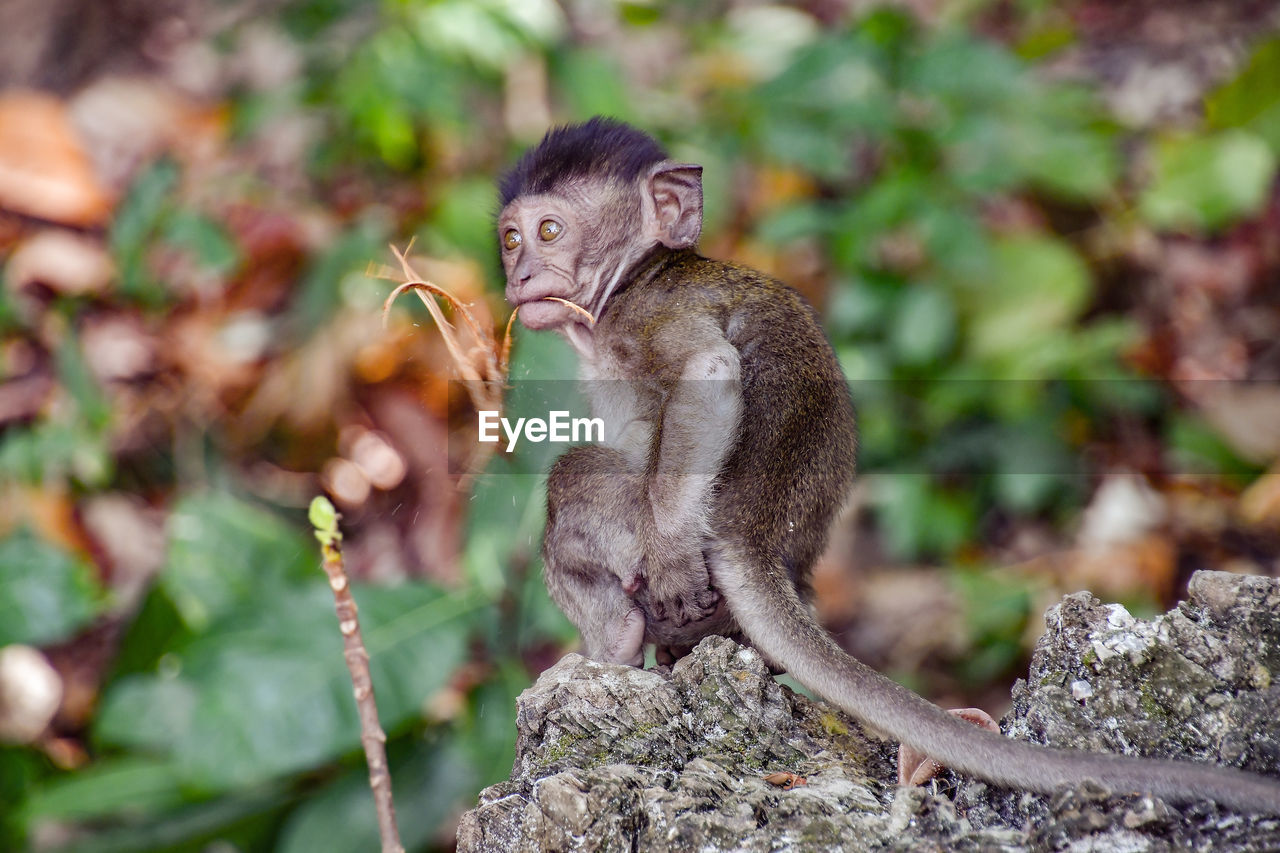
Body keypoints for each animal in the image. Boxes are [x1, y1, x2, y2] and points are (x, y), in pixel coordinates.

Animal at [494, 114, 1280, 809]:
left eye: (550, 230)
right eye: (510, 239)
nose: (521, 273)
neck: (638, 274)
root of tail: (754, 532)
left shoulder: (648, 315)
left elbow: (708, 371)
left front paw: (669, 563)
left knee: (573, 485)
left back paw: (612, 646)